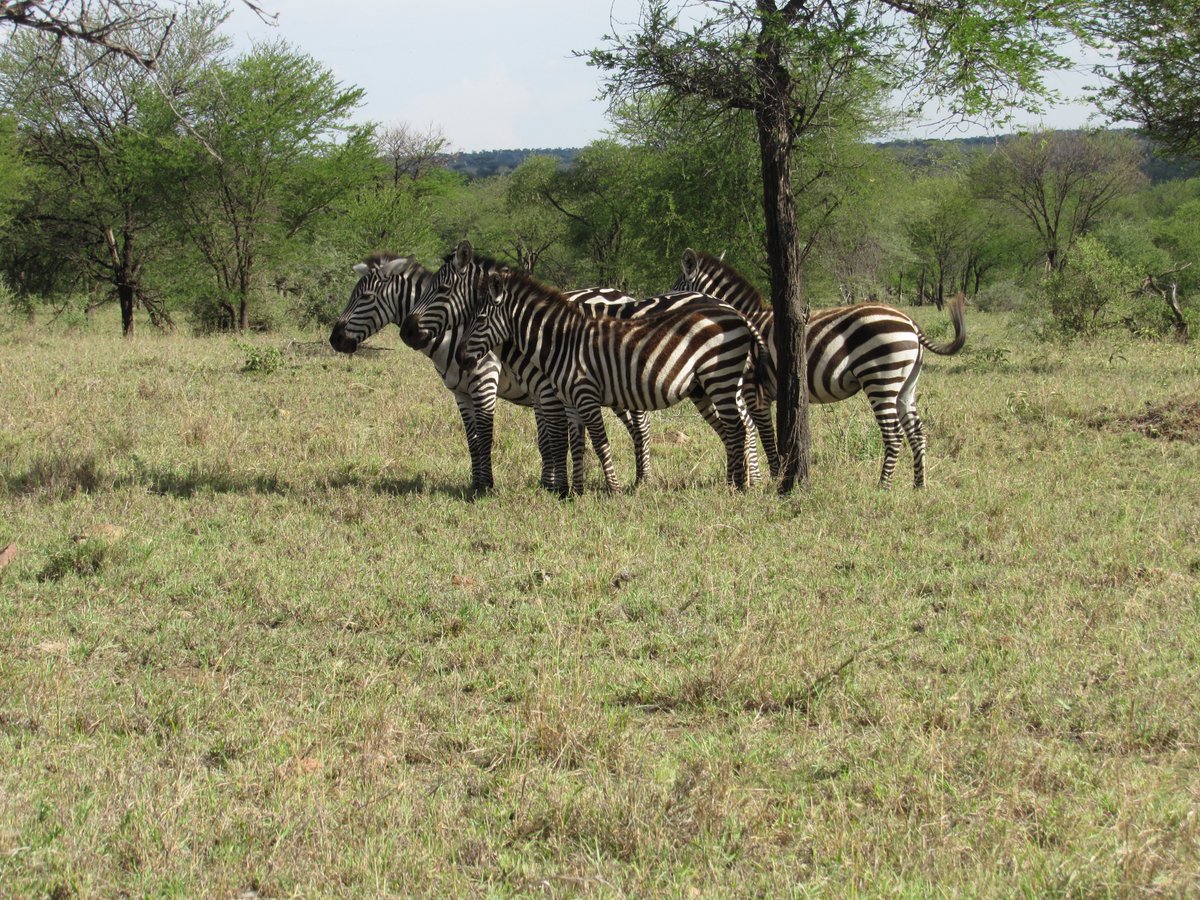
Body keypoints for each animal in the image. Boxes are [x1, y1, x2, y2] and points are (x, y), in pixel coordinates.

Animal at [329, 252, 608, 496]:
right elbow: (471, 440)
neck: (452, 332)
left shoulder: (485, 382)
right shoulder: (460, 392)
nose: (335, 339)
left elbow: (485, 437)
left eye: (365, 297)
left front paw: (486, 487)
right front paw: (475, 484)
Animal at [400, 240, 766, 490]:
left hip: (713, 378)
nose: (407, 332)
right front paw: (564, 487)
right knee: (733, 425)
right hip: (704, 385)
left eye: (442, 288)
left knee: (730, 425)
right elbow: (559, 440)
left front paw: (554, 486)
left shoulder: (542, 390)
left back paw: (737, 482)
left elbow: (555, 439)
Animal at [672, 249, 967, 488]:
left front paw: (774, 478)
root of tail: (910, 322)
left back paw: (883, 485)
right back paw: (919, 484)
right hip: (906, 385)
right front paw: (761, 478)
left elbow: (764, 435)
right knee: (917, 432)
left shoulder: (754, 393)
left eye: (675, 289)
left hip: (881, 378)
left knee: (893, 435)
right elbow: (755, 432)